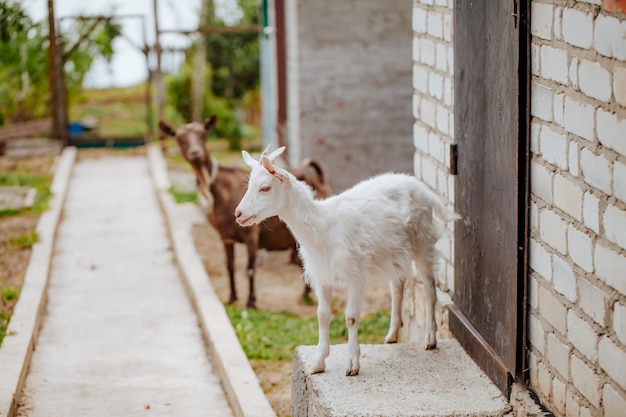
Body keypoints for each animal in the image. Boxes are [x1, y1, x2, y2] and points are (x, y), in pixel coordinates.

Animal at [158, 116, 330, 306]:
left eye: (203, 134)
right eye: (179, 138)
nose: (195, 152)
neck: (220, 190)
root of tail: (319, 179)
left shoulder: (251, 234)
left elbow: (249, 268)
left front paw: (251, 301)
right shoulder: (225, 237)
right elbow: (229, 267)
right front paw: (232, 298)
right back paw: (306, 294)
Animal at [234, 147, 458, 376]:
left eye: (265, 188)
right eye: (249, 185)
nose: (238, 214)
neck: (322, 226)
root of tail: (420, 187)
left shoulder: (355, 274)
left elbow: (351, 317)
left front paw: (352, 365)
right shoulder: (321, 275)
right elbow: (322, 315)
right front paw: (318, 363)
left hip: (423, 240)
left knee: (429, 287)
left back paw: (430, 339)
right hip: (394, 251)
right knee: (397, 285)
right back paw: (392, 334)